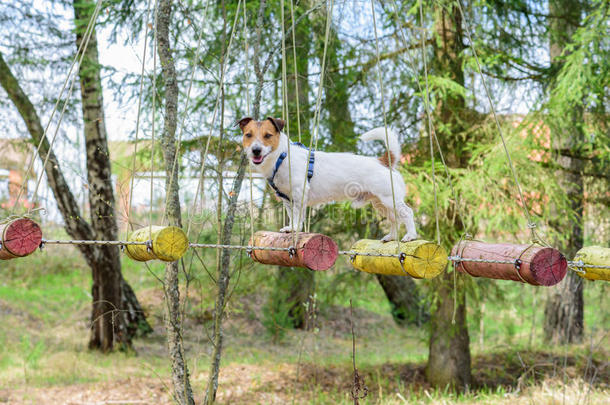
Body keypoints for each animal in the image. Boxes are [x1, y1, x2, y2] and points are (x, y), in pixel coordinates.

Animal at [238, 115, 418, 241]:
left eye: (268, 135)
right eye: (248, 135)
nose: (255, 150)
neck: (282, 156)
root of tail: (384, 161)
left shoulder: (299, 193)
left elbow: (297, 215)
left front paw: (295, 228)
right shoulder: (286, 199)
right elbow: (291, 215)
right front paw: (290, 227)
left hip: (390, 198)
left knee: (407, 213)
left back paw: (410, 236)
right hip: (380, 203)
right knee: (394, 219)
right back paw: (391, 237)